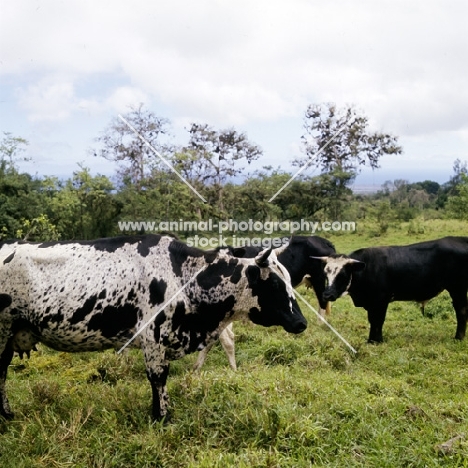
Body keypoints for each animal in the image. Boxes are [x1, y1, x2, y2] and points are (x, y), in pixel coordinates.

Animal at [0, 236, 308, 422]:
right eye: (275, 283)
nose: (301, 322)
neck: (183, 276)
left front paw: (158, 412)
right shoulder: (153, 336)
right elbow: (158, 377)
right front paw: (163, 417)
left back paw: (7, 414)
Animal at [312, 238, 468, 344]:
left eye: (343, 275)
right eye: (325, 274)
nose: (327, 295)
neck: (367, 268)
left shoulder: (381, 300)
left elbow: (378, 320)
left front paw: (377, 340)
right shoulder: (371, 303)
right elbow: (372, 320)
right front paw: (371, 340)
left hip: (458, 288)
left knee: (461, 311)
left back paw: (458, 338)